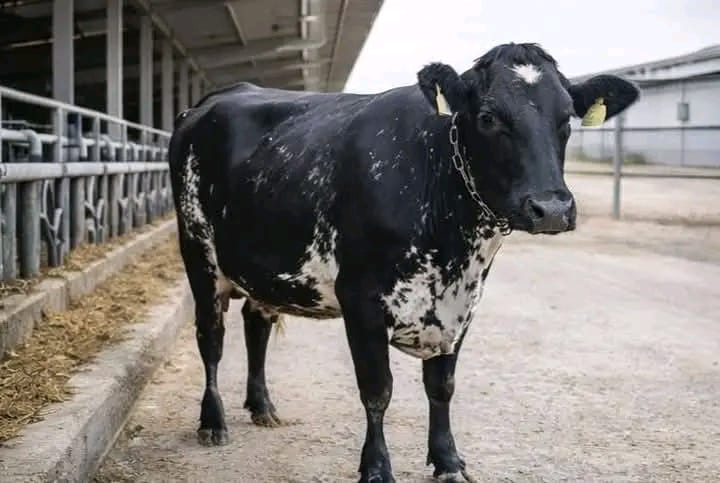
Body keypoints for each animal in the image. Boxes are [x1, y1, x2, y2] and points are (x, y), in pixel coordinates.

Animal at [168, 43, 638, 482]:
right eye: (488, 118)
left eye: (567, 119)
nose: (552, 209)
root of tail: (215, 98)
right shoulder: (361, 300)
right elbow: (378, 391)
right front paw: (377, 467)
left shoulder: (462, 304)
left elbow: (442, 387)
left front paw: (447, 460)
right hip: (199, 255)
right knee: (211, 339)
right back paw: (212, 422)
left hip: (263, 269)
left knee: (256, 324)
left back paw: (262, 406)